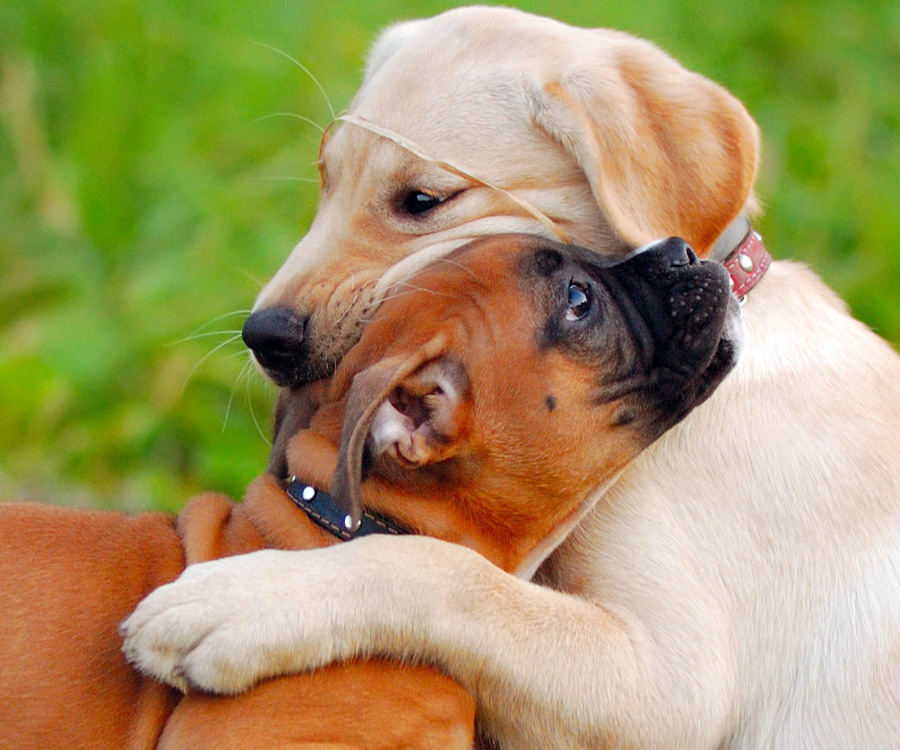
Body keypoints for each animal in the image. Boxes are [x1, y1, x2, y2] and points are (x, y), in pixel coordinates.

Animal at [125, 7, 900, 750]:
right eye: (325, 181)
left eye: (422, 201)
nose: (266, 337)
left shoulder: (669, 687)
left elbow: (443, 573)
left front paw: (238, 602)